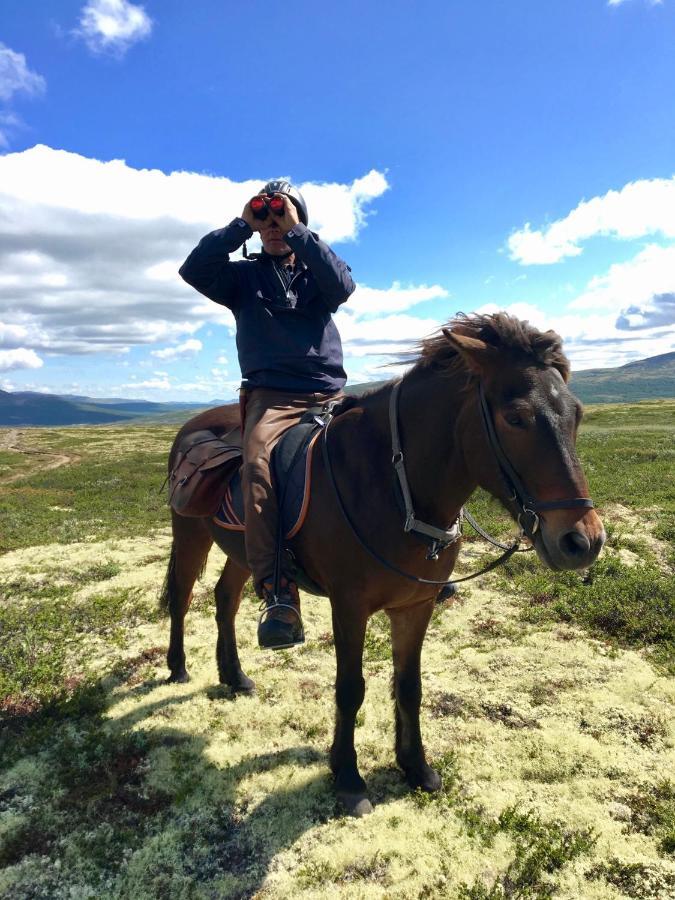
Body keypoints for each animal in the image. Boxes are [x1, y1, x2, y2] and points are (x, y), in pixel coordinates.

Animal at [160, 314, 608, 816]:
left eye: (576, 414)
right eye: (515, 417)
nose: (583, 540)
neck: (393, 486)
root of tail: (195, 426)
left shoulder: (415, 605)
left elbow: (409, 685)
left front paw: (416, 766)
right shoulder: (349, 607)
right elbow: (350, 687)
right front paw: (348, 777)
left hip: (242, 550)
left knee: (225, 599)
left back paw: (234, 676)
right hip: (191, 534)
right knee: (182, 597)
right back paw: (178, 667)